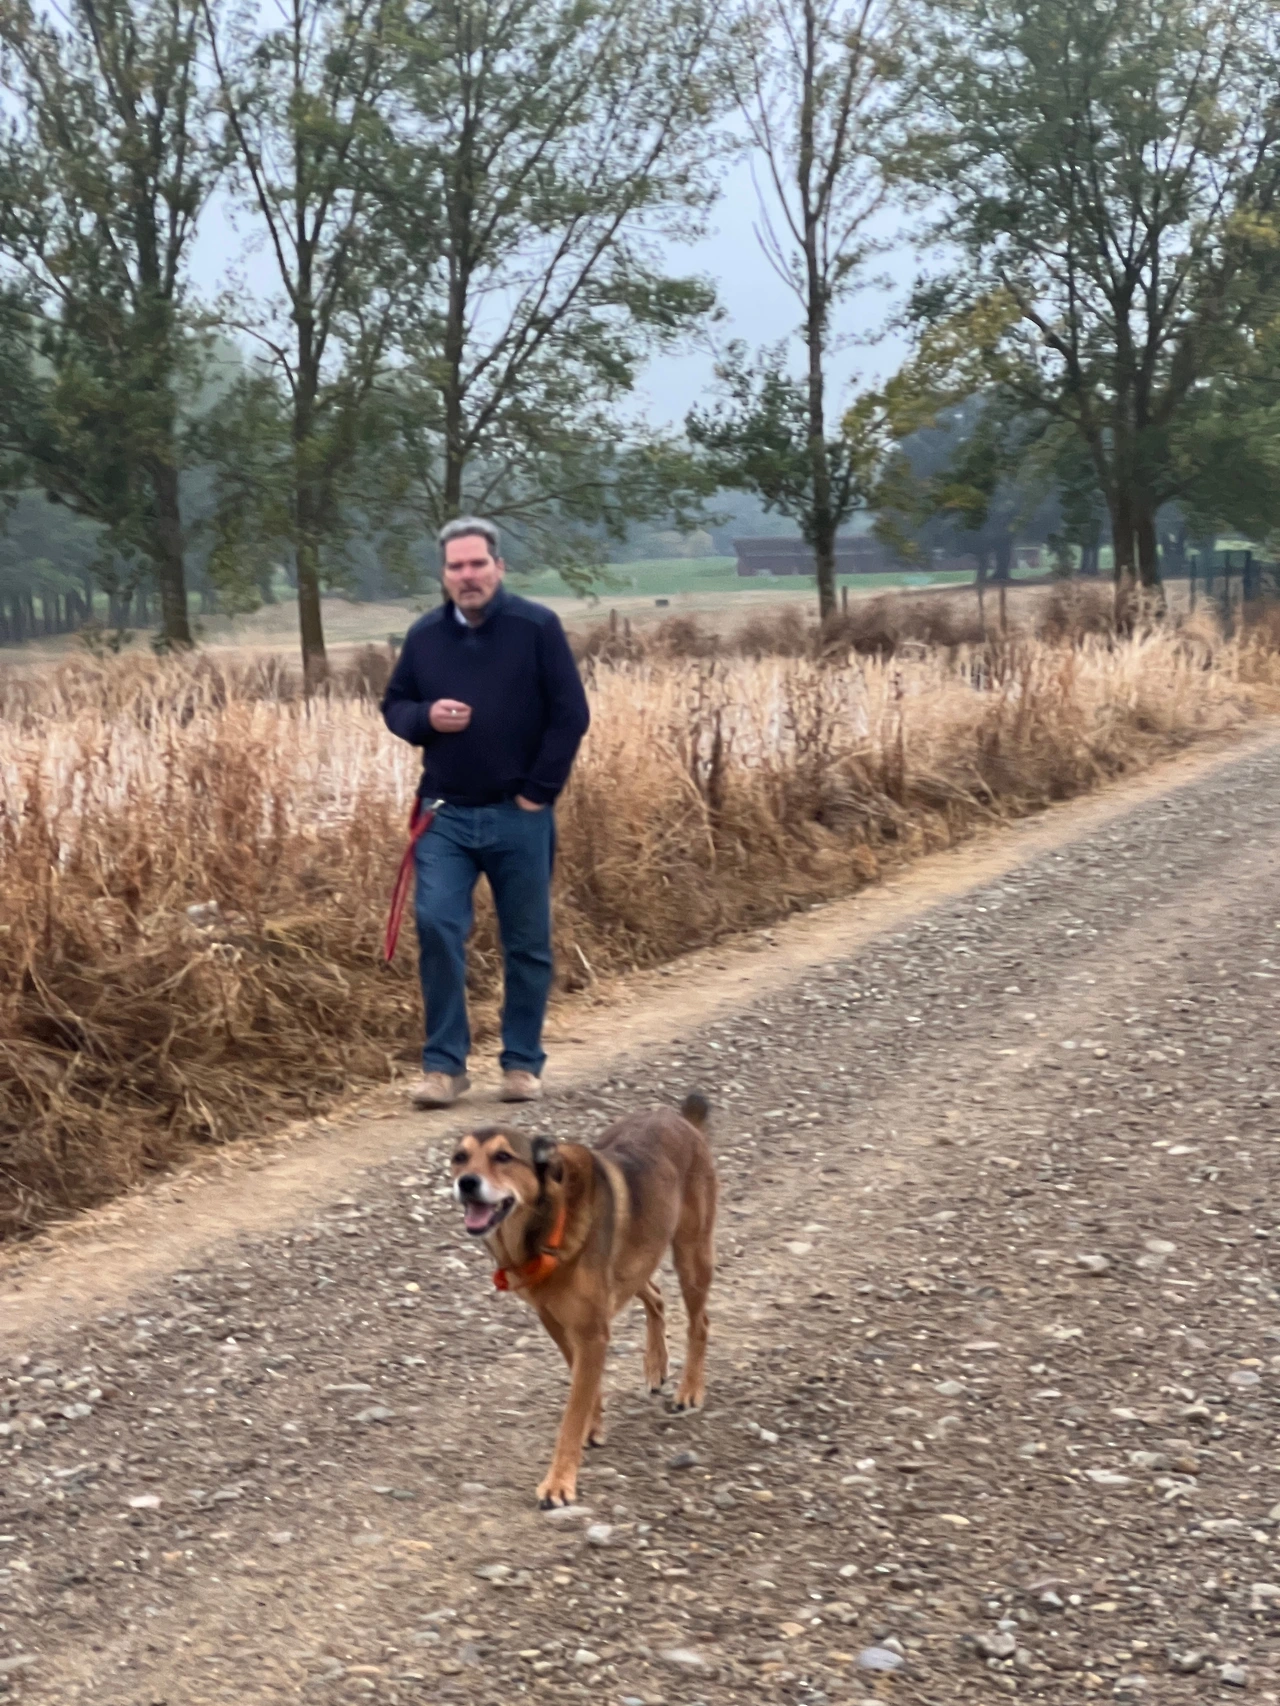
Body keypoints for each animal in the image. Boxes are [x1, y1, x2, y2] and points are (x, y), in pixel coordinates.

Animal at [450, 1093, 717, 1507]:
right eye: (459, 1158)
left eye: (503, 1157)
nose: (465, 1183)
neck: (545, 1224)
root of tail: (679, 1119)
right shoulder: (558, 1323)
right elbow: (583, 1383)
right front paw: (595, 1423)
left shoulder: (591, 1331)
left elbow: (572, 1413)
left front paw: (559, 1481)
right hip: (634, 1262)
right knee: (655, 1296)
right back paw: (655, 1364)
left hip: (690, 1255)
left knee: (699, 1322)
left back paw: (689, 1389)